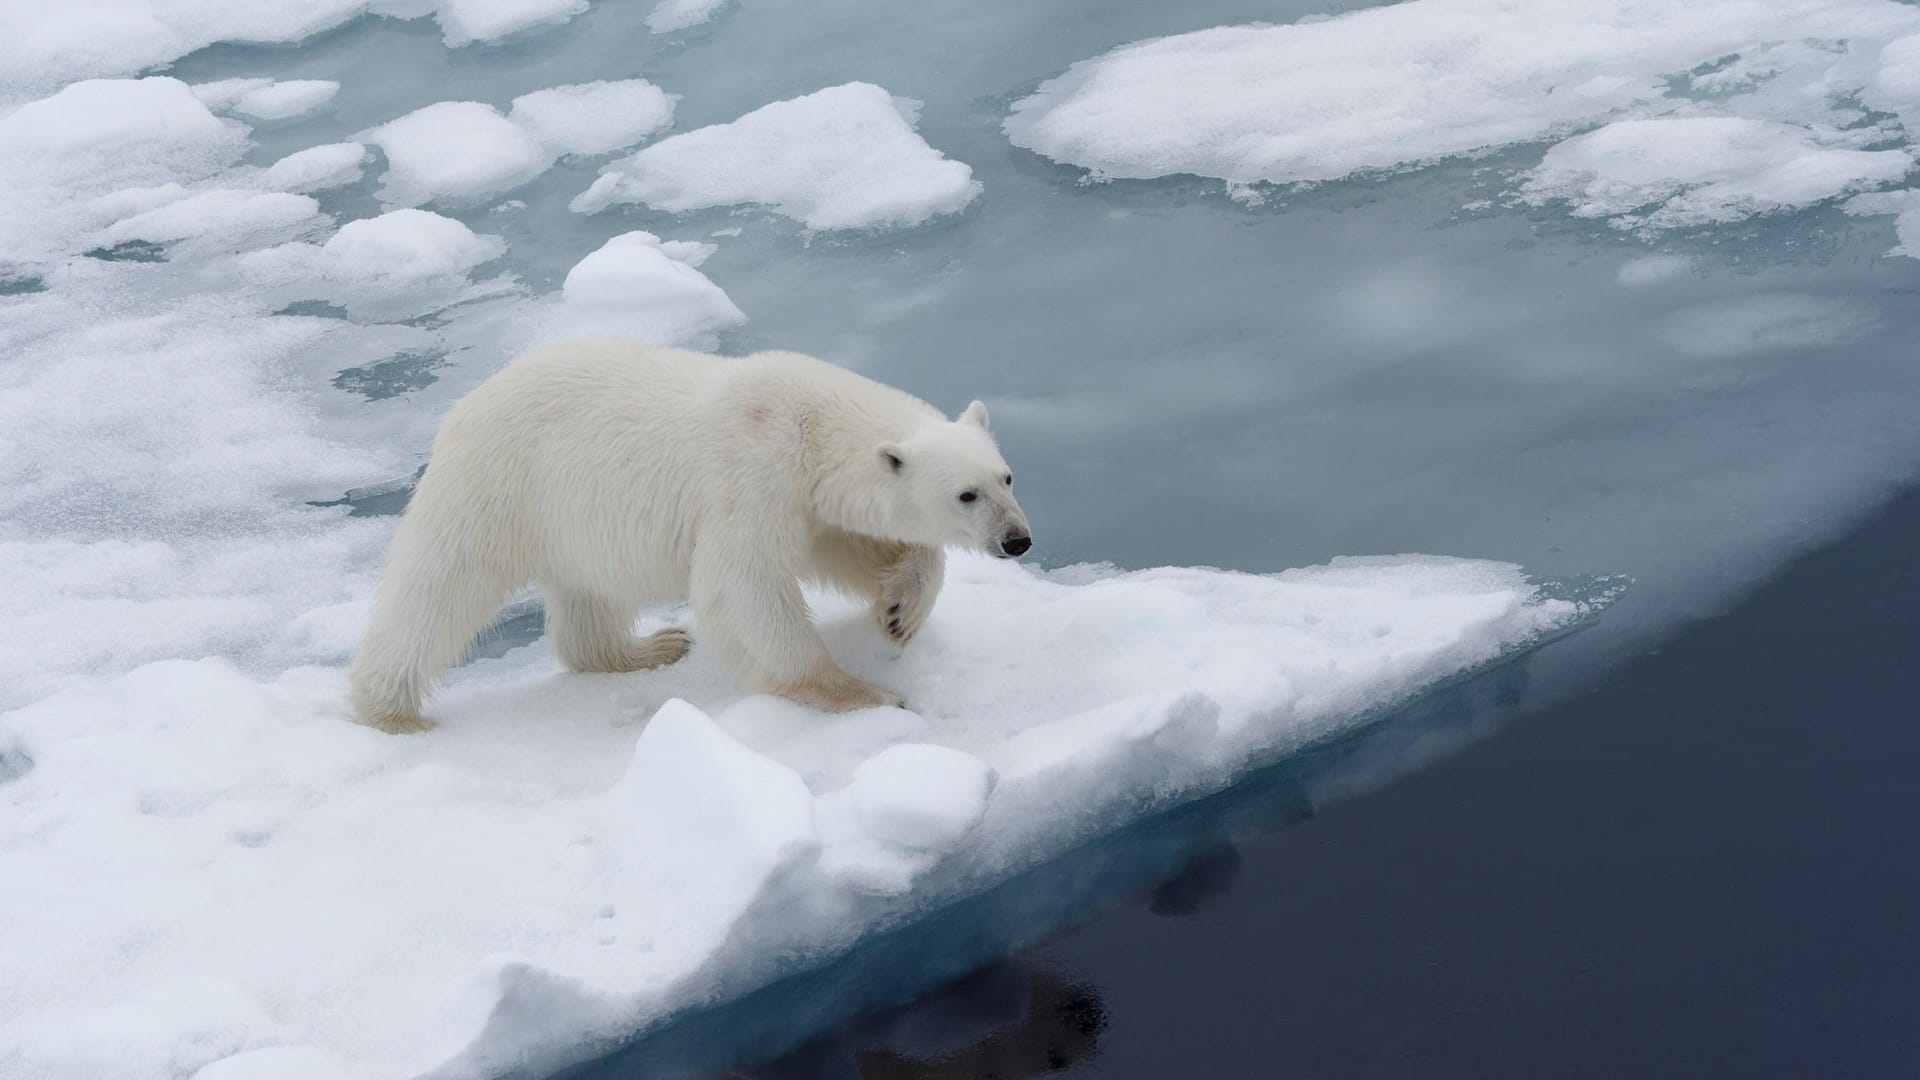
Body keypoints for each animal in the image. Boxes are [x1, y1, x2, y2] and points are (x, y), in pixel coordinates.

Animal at [345, 336, 1036, 730]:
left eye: (1006, 476)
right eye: (966, 494)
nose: (1017, 540)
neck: (809, 420)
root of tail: (462, 408)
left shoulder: (807, 502)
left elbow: (847, 547)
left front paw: (899, 610)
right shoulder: (752, 475)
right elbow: (744, 584)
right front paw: (863, 693)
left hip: (574, 518)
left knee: (588, 596)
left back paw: (649, 647)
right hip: (498, 485)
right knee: (437, 588)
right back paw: (389, 711)